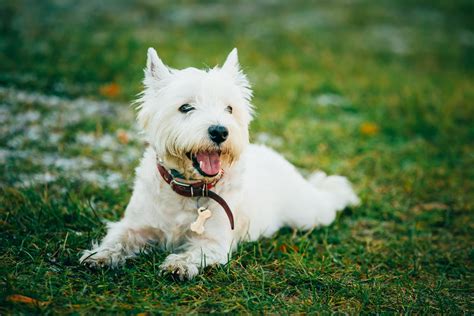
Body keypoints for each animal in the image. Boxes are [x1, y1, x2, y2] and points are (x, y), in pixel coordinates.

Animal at [79, 47, 360, 278]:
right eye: (185, 107)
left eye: (229, 109)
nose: (219, 131)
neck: (190, 188)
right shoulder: (137, 224)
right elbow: (118, 237)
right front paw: (99, 256)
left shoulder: (214, 241)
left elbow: (196, 252)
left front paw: (178, 265)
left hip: (307, 214)